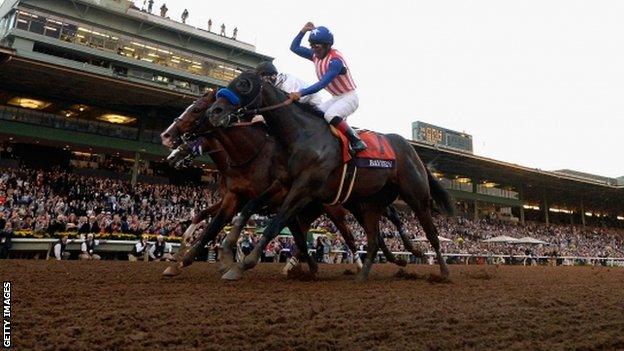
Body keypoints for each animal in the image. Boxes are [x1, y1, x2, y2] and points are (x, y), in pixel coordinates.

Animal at [160, 91, 420, 278]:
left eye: (195, 109)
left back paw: (387, 257)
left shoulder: (275, 194)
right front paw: (181, 259)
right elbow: (209, 221)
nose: (166, 136)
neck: (251, 155)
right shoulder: (234, 196)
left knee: (360, 232)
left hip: (338, 209)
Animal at [207, 71, 456, 280]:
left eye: (244, 84)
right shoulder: (283, 185)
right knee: (375, 237)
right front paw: (228, 251)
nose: (214, 111)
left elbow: (275, 224)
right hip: (371, 203)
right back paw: (366, 272)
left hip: (415, 196)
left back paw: (441, 270)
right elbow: (249, 209)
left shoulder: (303, 189)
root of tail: (410, 148)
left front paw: (242, 264)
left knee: (429, 233)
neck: (303, 136)